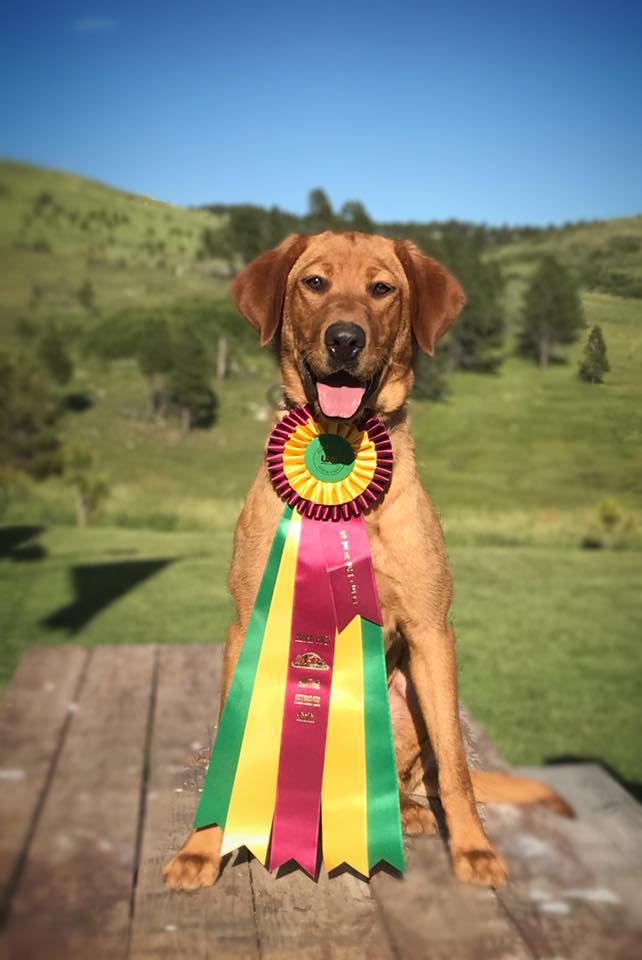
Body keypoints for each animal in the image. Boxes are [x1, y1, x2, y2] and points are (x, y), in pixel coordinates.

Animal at [164, 230, 571, 891]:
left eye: (382, 289)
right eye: (315, 282)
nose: (345, 339)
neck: (338, 450)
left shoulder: (432, 631)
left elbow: (455, 765)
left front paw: (474, 849)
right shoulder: (246, 624)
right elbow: (226, 755)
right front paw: (201, 850)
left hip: (405, 698)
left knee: (418, 775)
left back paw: (411, 813)